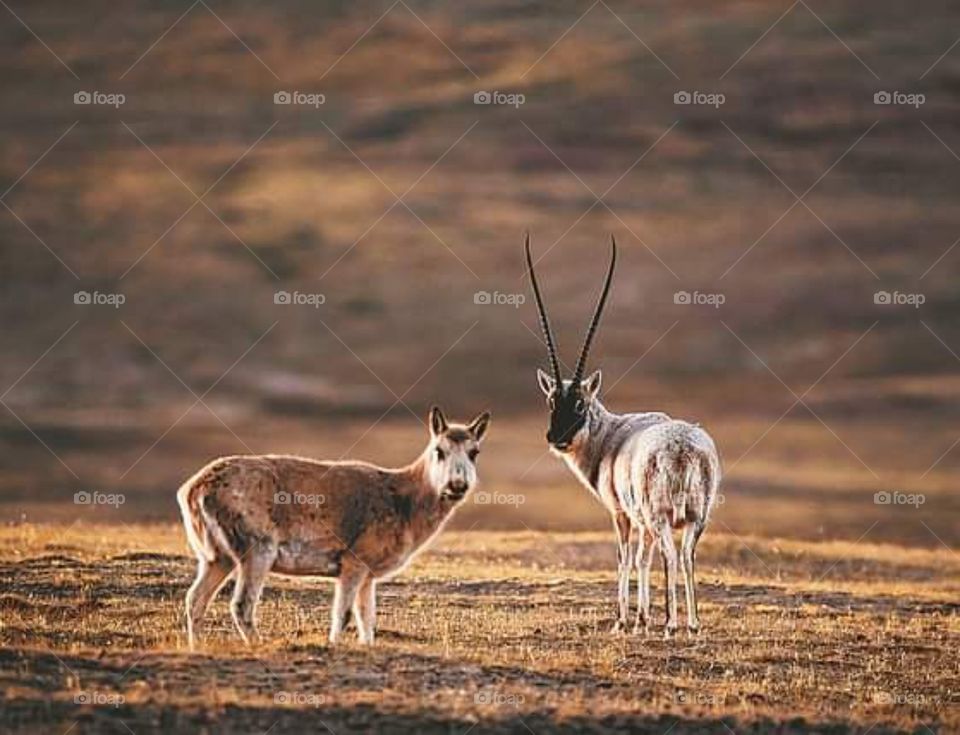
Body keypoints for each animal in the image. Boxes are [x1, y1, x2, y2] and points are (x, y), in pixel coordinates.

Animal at [177, 406, 490, 647]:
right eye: (439, 450)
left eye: (474, 452)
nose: (457, 485)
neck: (406, 507)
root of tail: (192, 491)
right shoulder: (354, 559)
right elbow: (343, 614)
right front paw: (333, 645)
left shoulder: (369, 574)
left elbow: (368, 619)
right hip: (257, 547)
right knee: (241, 604)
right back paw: (257, 644)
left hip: (216, 556)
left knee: (195, 598)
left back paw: (196, 646)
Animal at [524, 234, 720, 636]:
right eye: (552, 400)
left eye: (580, 403)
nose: (557, 438)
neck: (610, 436)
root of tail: (684, 450)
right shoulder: (642, 520)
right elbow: (643, 559)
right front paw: (642, 618)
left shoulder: (622, 513)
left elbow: (625, 556)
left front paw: (624, 620)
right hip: (697, 517)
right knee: (688, 556)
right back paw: (692, 624)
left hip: (661, 515)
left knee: (671, 555)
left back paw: (671, 624)